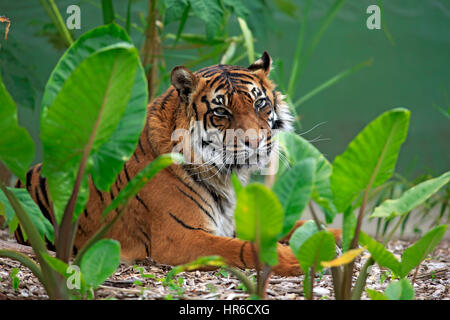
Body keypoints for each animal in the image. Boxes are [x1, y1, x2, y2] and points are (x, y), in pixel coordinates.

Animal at [14, 52, 342, 276]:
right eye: (221, 111)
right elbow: (243, 249)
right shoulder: (180, 238)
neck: (226, 176)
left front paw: (337, 237)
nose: (256, 141)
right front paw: (296, 258)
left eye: (260, 103)